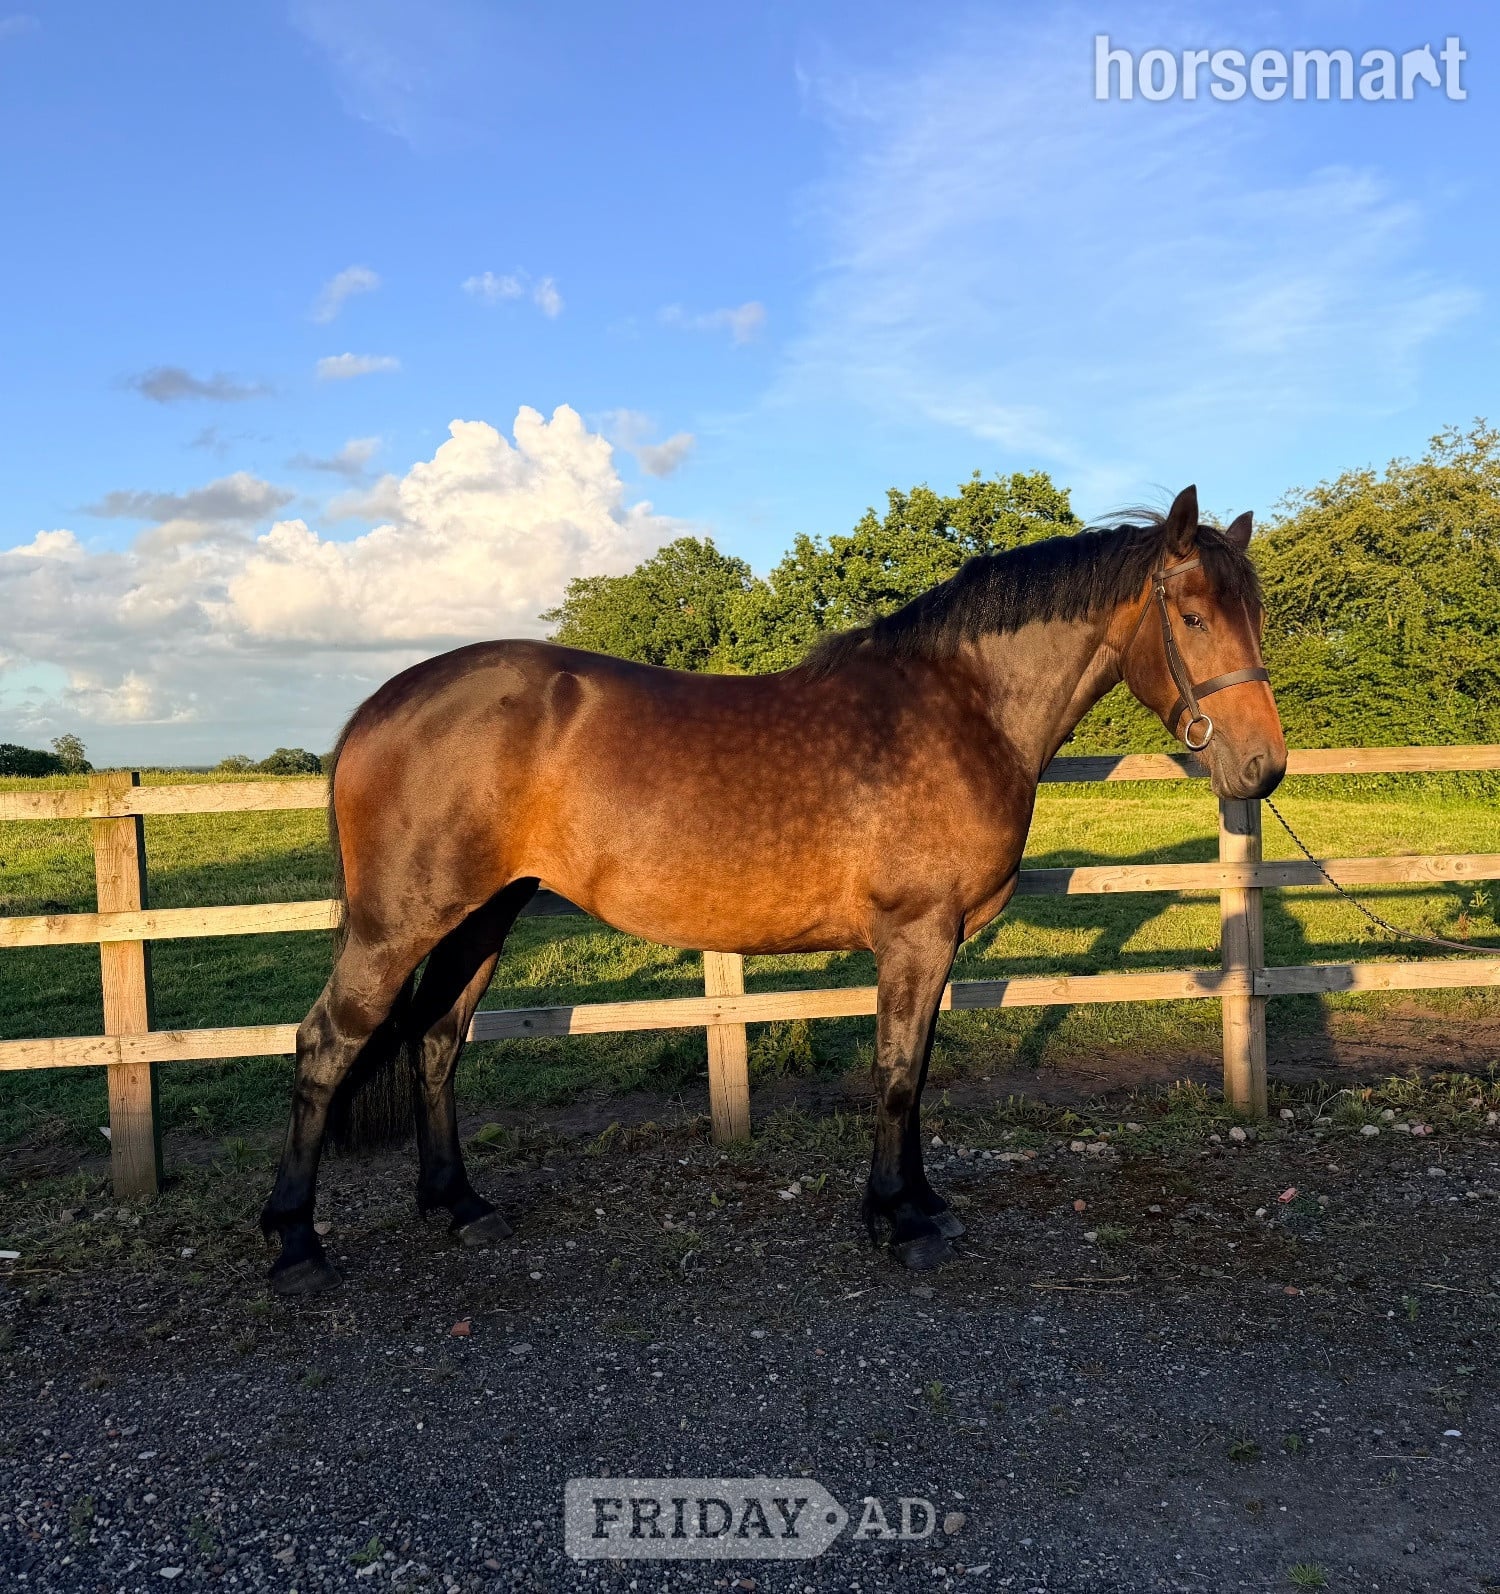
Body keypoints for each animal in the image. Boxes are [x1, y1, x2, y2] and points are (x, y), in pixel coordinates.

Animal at [260, 484, 1286, 1292]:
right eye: (1194, 617)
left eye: (1256, 615)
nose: (1263, 767)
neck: (961, 707)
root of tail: (380, 705)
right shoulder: (916, 934)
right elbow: (897, 1076)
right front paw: (899, 1222)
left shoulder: (940, 941)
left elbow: (915, 1070)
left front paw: (922, 1203)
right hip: (399, 924)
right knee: (325, 1045)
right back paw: (297, 1248)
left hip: (481, 916)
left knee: (436, 1040)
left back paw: (460, 1206)